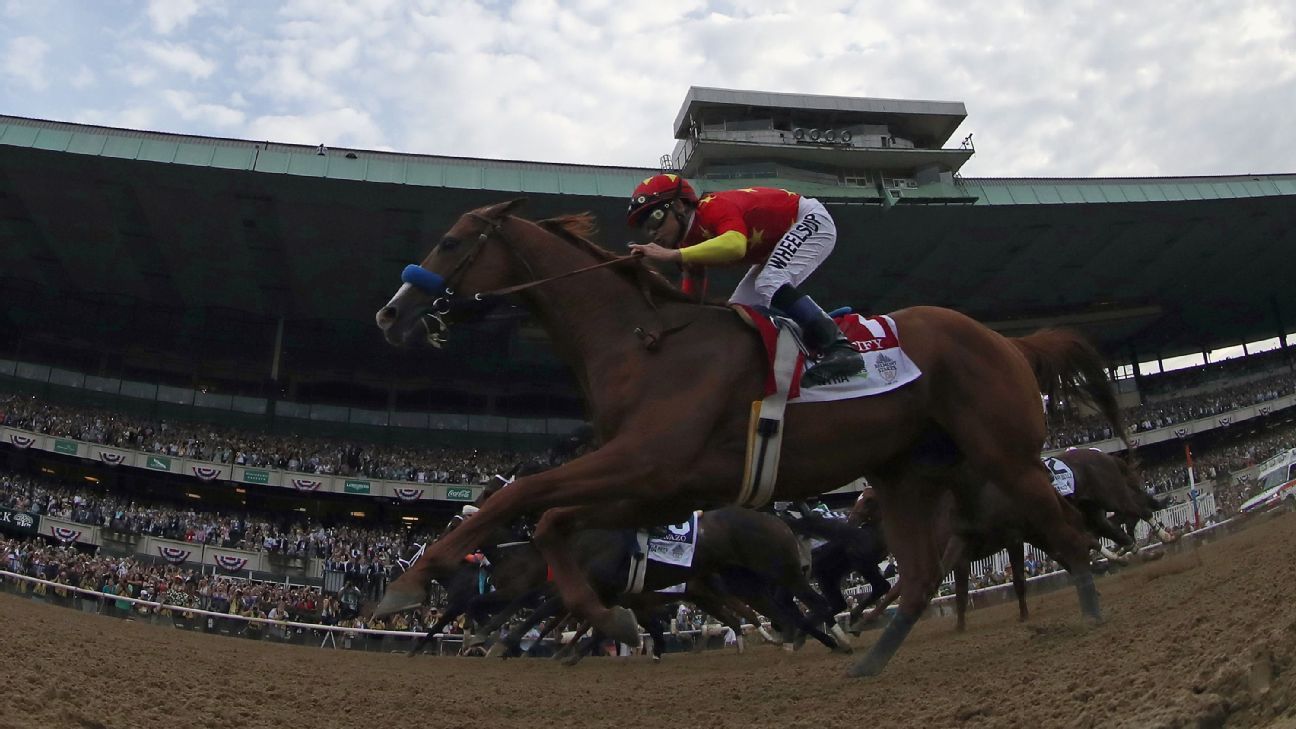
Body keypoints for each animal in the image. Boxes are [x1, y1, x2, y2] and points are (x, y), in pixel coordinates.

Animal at [373, 199, 1124, 674]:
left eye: (449, 242)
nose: (389, 314)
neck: (643, 343)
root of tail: (1006, 340)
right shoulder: (656, 484)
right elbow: (555, 520)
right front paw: (606, 620)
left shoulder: (643, 461)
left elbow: (521, 495)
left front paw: (411, 579)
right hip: (908, 473)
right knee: (918, 574)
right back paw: (866, 653)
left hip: (1007, 455)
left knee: (1065, 529)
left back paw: (1092, 611)